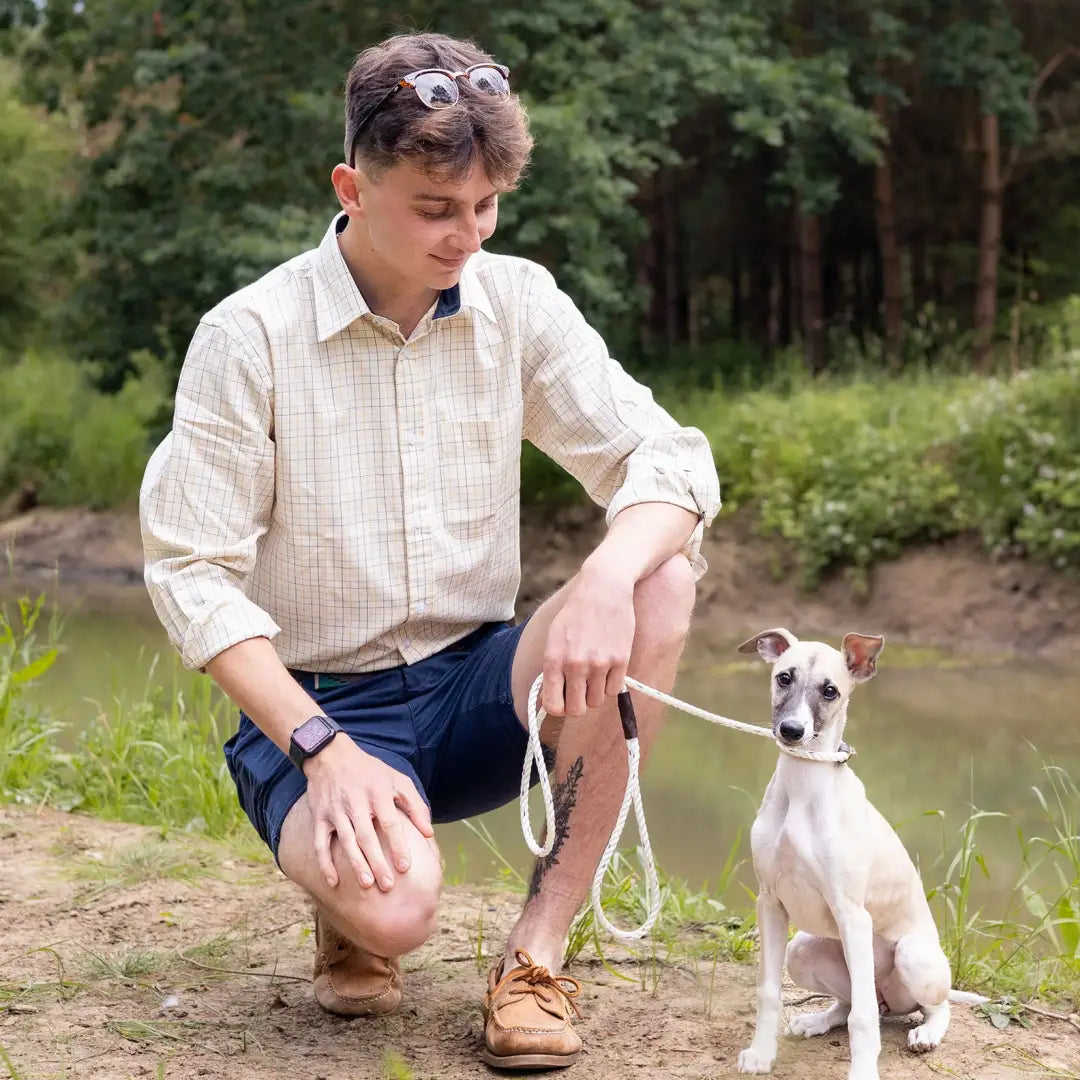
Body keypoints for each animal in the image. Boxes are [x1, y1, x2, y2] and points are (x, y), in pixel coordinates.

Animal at [734, 630, 980, 1075]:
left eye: (830, 691)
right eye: (783, 678)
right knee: (852, 1004)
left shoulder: (852, 915)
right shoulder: (770, 903)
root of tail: (892, 1001)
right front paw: (761, 1054)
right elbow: (768, 992)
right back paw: (817, 1020)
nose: (791, 730)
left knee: (927, 1007)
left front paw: (864, 1072)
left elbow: (863, 1022)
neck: (803, 786)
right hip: (803, 950)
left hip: (913, 958)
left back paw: (927, 1034)